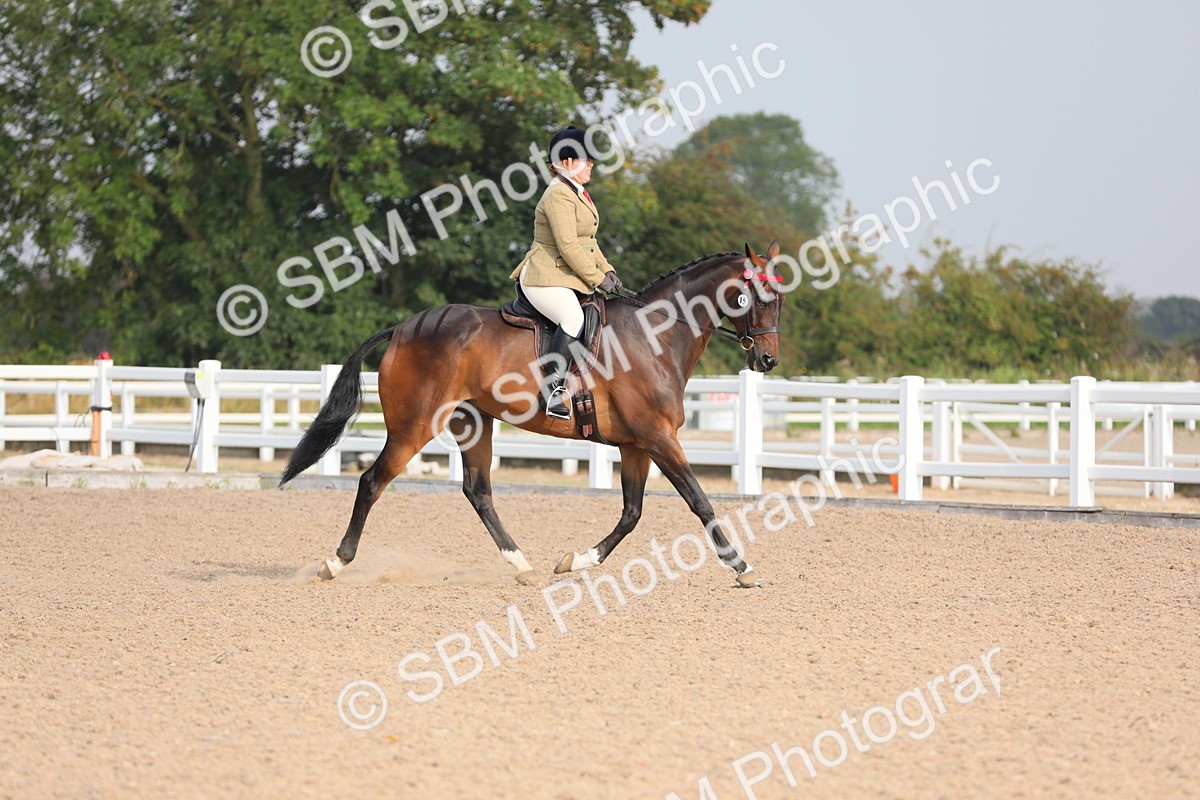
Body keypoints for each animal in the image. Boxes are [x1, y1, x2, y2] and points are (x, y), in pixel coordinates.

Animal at [279, 240, 785, 587]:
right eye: (758, 297)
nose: (767, 361)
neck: (655, 334)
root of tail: (403, 327)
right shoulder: (658, 438)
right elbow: (700, 501)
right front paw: (741, 567)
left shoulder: (635, 444)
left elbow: (632, 512)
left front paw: (576, 560)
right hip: (414, 426)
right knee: (372, 482)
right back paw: (335, 562)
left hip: (473, 423)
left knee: (478, 491)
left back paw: (522, 565)